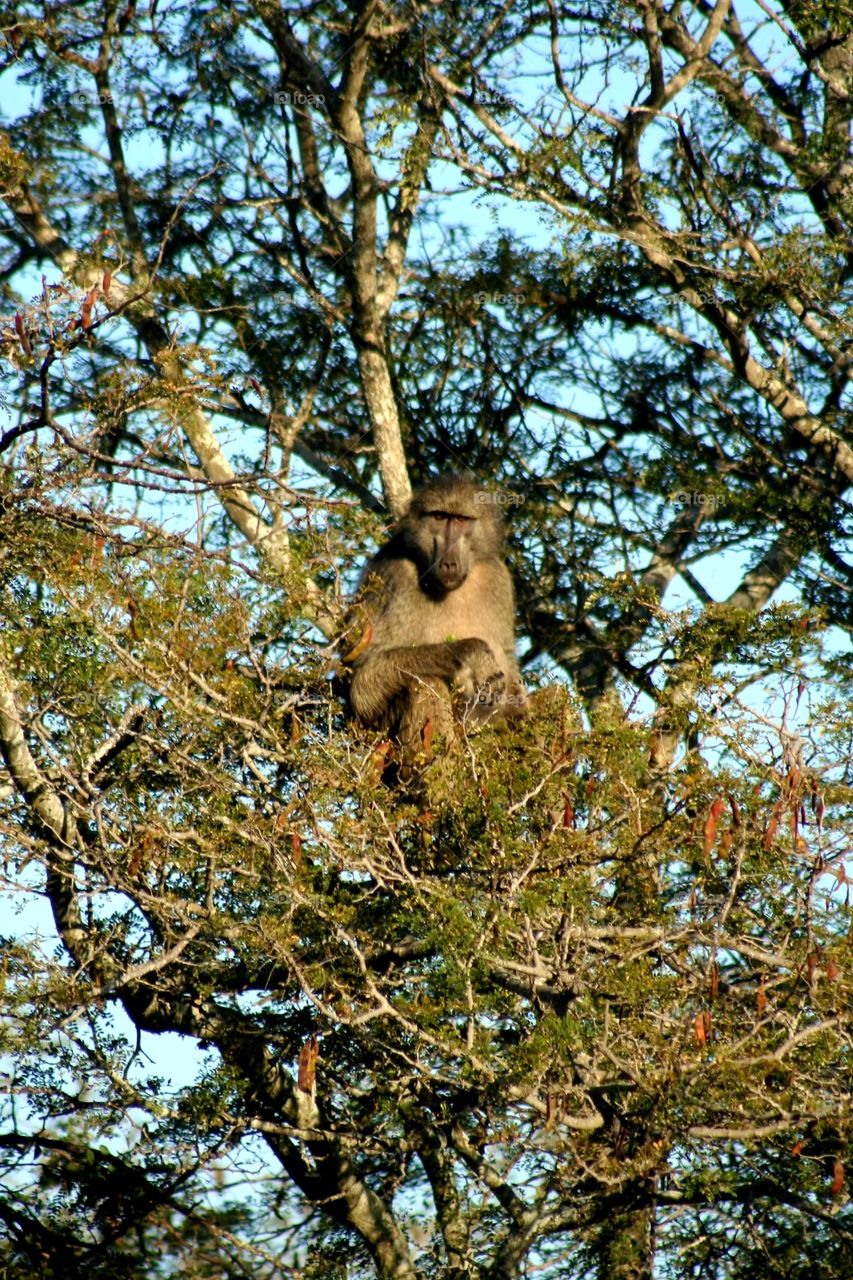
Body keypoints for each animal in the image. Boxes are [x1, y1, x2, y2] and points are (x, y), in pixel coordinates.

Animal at [345, 475, 526, 753]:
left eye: (461, 520)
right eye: (439, 517)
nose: (448, 563)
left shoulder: (499, 578)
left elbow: (509, 663)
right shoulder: (394, 575)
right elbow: (363, 675)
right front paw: (473, 652)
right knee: (424, 683)